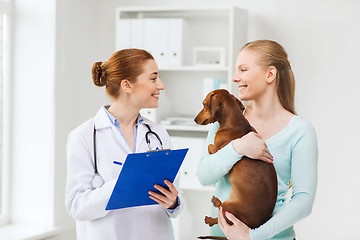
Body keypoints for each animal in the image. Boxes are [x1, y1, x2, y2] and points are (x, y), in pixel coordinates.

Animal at [195, 89, 278, 239]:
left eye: (204, 104)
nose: (194, 119)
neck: (235, 123)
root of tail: (253, 226)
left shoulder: (216, 147)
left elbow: (210, 146)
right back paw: (216, 201)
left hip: (230, 208)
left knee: (221, 218)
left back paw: (210, 219)